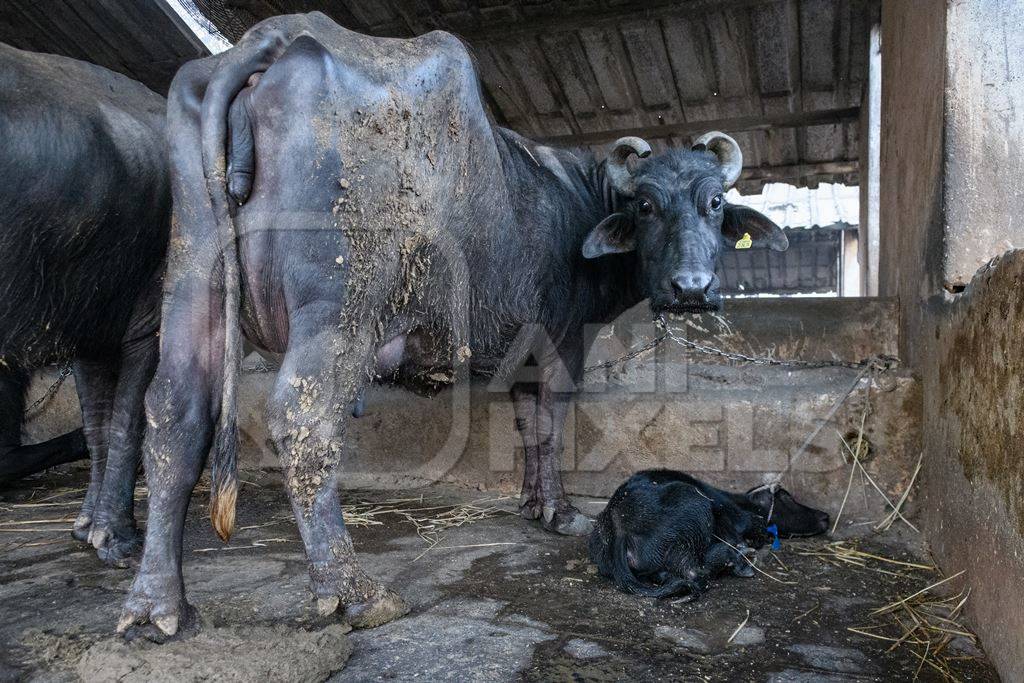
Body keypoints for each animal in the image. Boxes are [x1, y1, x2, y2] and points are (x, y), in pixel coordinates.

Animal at [121, 13, 782, 638]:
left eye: (715, 203)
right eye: (645, 206)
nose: (692, 288)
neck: (575, 201)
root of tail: (274, 39)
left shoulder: (521, 353)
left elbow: (526, 425)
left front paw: (530, 503)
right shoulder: (562, 341)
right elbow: (550, 424)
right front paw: (561, 512)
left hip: (193, 281)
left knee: (174, 412)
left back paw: (159, 605)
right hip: (338, 307)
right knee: (302, 419)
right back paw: (355, 593)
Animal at [589, 471, 827, 598]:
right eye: (787, 497)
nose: (826, 516)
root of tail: (618, 526)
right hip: (693, 515)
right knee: (695, 572)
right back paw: (739, 560)